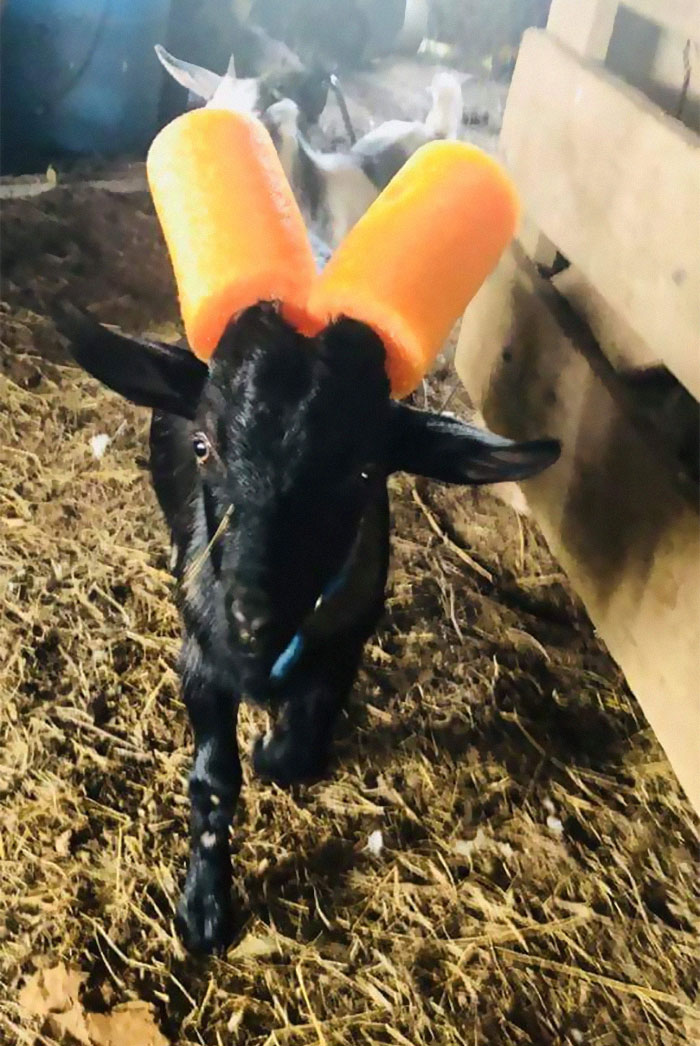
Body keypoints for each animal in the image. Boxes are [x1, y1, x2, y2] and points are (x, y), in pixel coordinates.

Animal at [60, 302, 560, 955]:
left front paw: (273, 751)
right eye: (203, 445)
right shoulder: (199, 662)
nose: (253, 616)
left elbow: (295, 748)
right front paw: (203, 909)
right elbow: (214, 780)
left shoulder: (344, 645)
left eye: (366, 472)